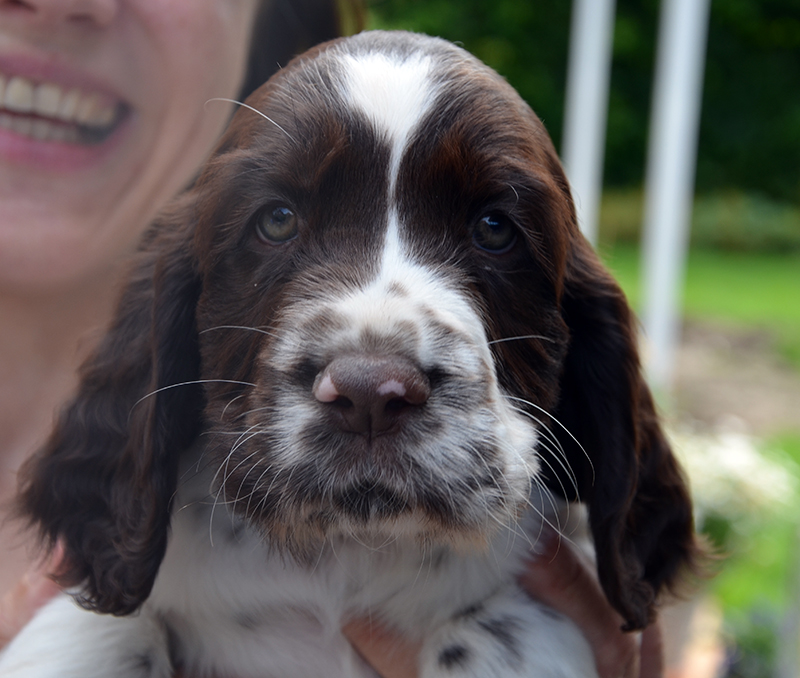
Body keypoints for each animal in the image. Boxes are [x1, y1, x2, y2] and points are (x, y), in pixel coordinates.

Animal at [0, 30, 696, 678]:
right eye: (277, 220)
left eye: (495, 229)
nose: (370, 394)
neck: (347, 552)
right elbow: (101, 634)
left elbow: (500, 634)